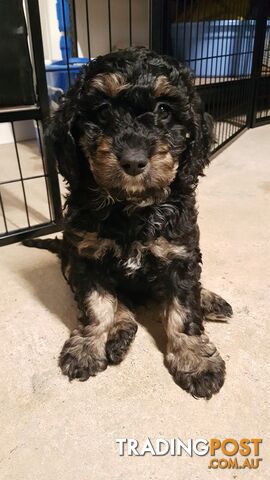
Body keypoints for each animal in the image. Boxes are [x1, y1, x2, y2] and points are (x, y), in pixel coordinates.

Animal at [24, 47, 233, 398]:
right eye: (103, 110)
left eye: (164, 110)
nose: (133, 161)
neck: (131, 207)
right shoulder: (84, 256)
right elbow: (97, 305)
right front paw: (87, 347)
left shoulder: (180, 253)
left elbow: (184, 309)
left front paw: (196, 360)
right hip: (68, 258)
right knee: (116, 303)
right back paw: (119, 333)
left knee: (193, 286)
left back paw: (209, 299)